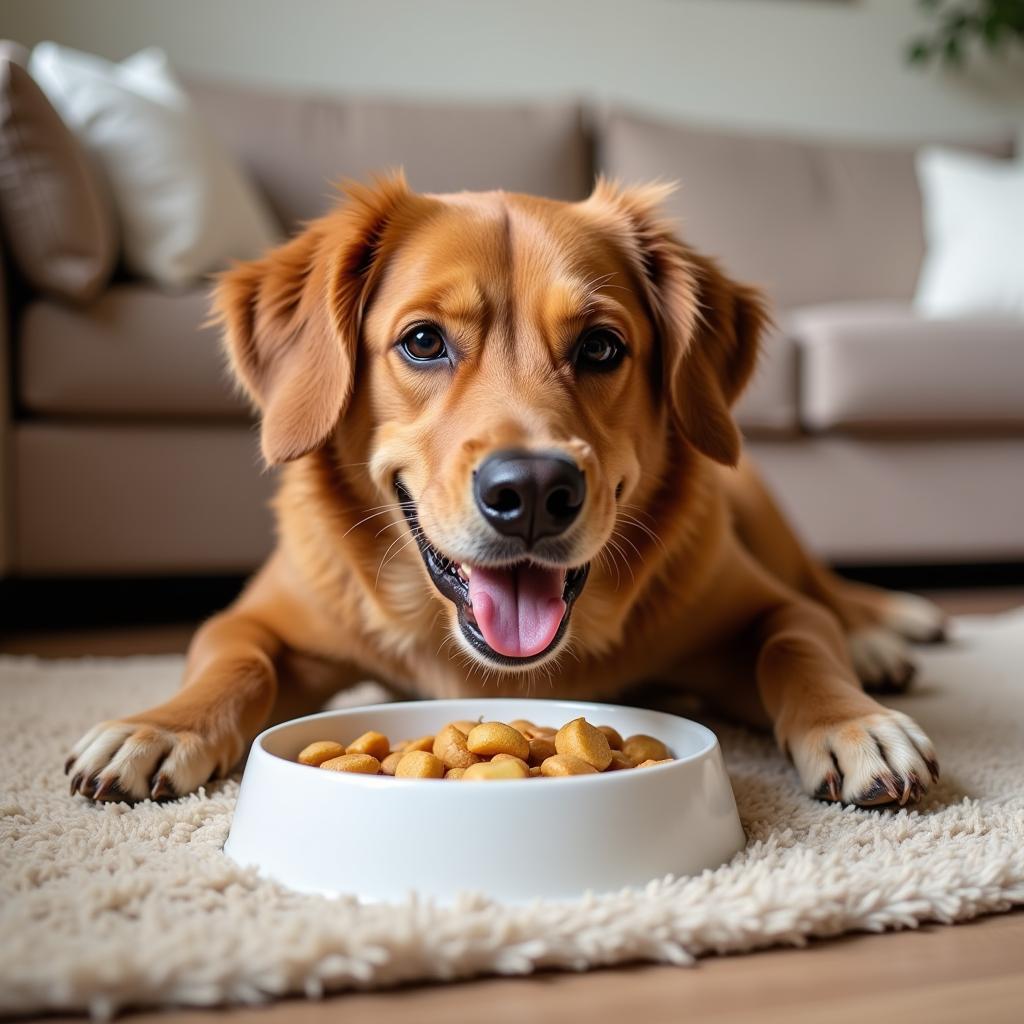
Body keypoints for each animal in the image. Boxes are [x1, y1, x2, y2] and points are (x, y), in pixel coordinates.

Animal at [61, 176, 942, 806]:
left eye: (601, 346)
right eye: (423, 342)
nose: (535, 490)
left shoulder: (757, 609)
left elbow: (798, 643)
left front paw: (856, 722)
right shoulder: (259, 620)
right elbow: (232, 660)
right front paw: (158, 727)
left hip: (759, 507)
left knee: (825, 592)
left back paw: (883, 630)